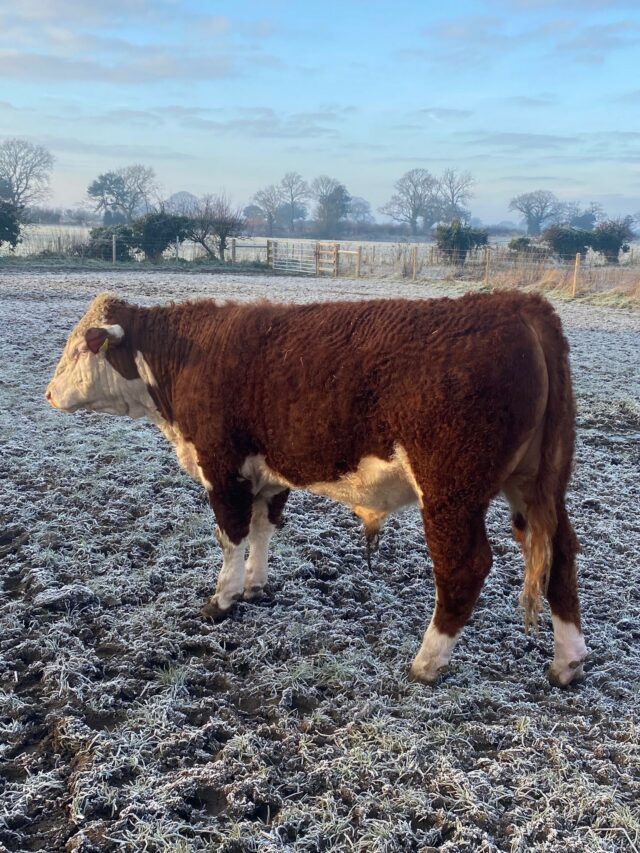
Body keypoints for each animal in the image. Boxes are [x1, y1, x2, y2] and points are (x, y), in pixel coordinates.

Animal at [43, 292, 584, 684]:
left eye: (79, 347)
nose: (47, 393)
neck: (191, 357)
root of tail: (516, 303)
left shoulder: (222, 467)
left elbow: (230, 535)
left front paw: (222, 599)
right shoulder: (267, 473)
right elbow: (263, 527)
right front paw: (257, 585)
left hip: (451, 491)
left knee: (465, 566)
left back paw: (426, 663)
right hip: (535, 483)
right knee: (561, 552)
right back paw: (567, 663)